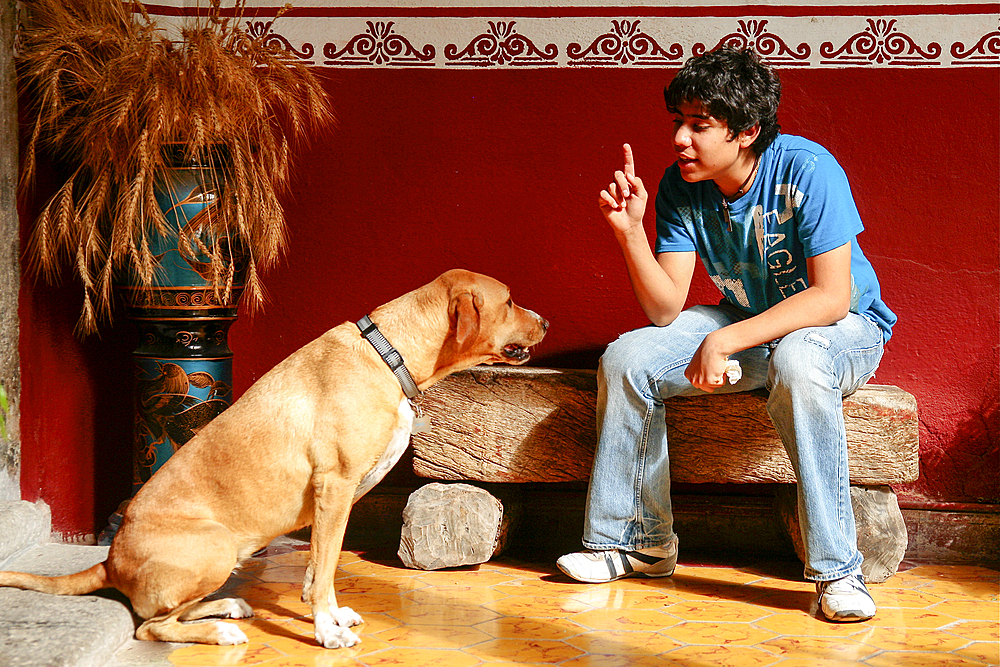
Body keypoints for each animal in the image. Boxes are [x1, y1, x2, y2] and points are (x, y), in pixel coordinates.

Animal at [0, 268, 548, 648]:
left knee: (171, 612)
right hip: (216, 545)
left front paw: (326, 613)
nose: (546, 320)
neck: (387, 353)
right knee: (150, 626)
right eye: (510, 301)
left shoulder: (338, 500)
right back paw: (217, 631)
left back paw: (226, 608)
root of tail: (110, 561)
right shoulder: (336, 486)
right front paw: (327, 631)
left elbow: (320, 566)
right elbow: (324, 569)